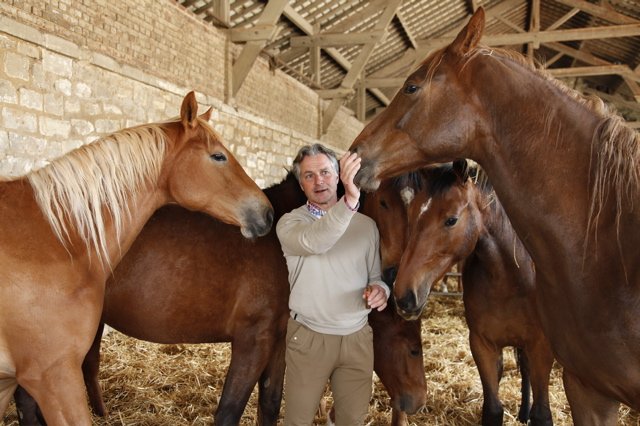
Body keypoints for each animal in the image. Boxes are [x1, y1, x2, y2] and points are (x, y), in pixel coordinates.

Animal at [13, 172, 427, 426]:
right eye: (413, 349)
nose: (417, 402)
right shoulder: (252, 340)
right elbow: (229, 411)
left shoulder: (280, 339)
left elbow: (269, 404)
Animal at [394, 161, 554, 425]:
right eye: (413, 214)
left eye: (451, 220)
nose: (404, 297)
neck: (510, 279)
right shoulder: (482, 345)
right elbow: (493, 409)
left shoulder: (541, 346)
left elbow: (542, 414)